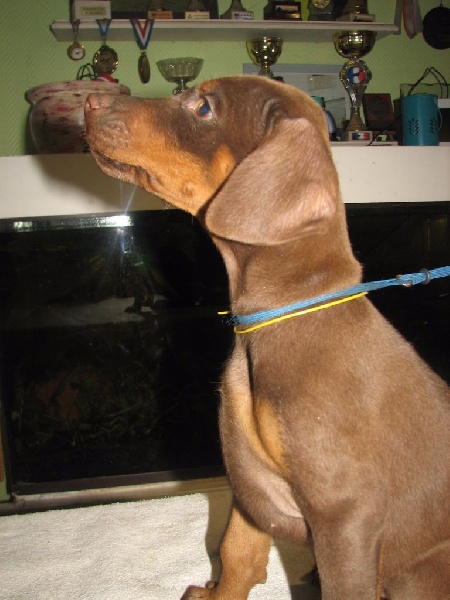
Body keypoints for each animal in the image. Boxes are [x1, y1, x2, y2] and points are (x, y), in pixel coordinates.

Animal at [85, 76, 450, 599]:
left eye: (203, 107)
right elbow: (236, 552)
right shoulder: (250, 482)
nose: (89, 99)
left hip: (419, 570)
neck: (276, 316)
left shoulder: (346, 514)